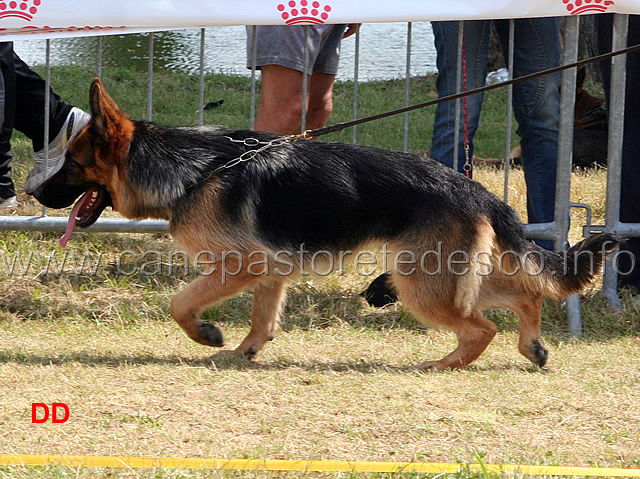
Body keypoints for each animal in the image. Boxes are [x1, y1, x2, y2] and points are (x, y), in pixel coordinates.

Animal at [32, 79, 616, 372]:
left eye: (71, 163)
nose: (33, 192)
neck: (192, 167)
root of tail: (473, 186)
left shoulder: (241, 265)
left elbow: (180, 302)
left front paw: (207, 333)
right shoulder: (271, 271)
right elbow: (263, 321)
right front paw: (243, 352)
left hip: (419, 283)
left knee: (482, 326)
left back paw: (444, 364)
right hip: (441, 275)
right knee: (525, 296)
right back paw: (532, 347)